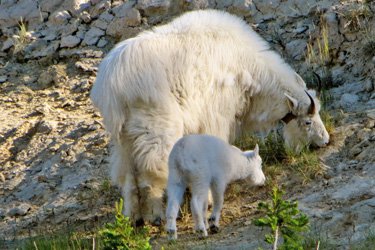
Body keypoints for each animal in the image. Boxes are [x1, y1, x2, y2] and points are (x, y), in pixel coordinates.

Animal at [89, 9, 330, 225]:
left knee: (127, 175)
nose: (325, 141)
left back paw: (132, 218)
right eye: (308, 121)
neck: (249, 68)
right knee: (150, 170)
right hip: (155, 127)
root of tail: (111, 87)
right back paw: (155, 216)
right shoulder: (217, 116)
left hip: (124, 136)